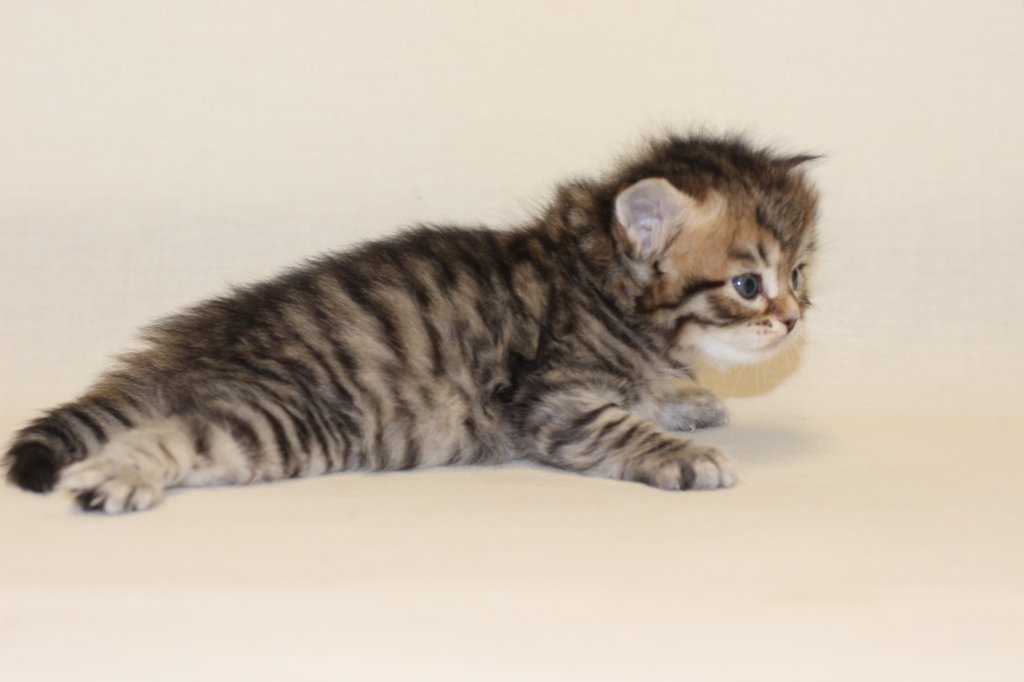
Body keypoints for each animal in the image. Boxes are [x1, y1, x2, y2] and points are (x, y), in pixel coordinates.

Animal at [3, 134, 820, 513]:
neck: (596, 282)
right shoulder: (552, 400)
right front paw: (685, 451)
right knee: (180, 434)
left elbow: (655, 393)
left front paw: (688, 400)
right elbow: (618, 425)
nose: (789, 321)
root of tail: (184, 347)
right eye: (748, 285)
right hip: (291, 420)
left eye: (800, 276)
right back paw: (115, 476)